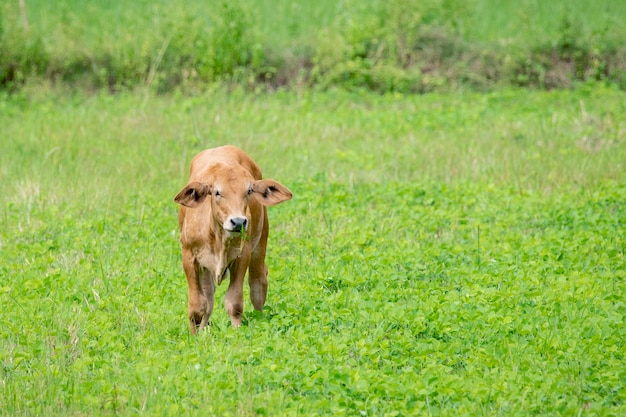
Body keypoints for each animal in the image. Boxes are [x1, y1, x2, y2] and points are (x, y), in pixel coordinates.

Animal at [174, 146, 292, 332]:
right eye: (217, 192)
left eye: (249, 191)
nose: (238, 221)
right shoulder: (189, 256)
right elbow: (197, 306)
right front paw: (195, 335)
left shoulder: (242, 255)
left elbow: (234, 302)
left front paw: (237, 332)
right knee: (208, 295)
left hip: (260, 243)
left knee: (258, 283)